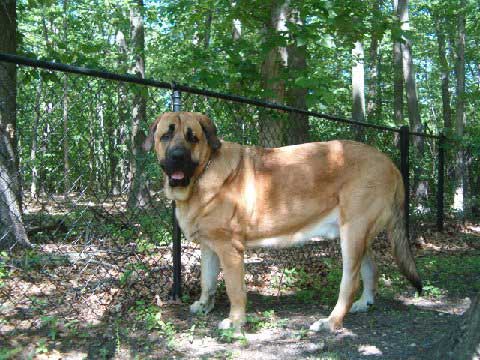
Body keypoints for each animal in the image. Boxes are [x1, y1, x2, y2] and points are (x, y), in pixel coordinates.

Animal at [144, 112, 422, 332]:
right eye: (166, 135)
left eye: (193, 137)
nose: (177, 156)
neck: (201, 174)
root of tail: (391, 164)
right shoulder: (209, 247)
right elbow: (208, 281)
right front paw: (204, 305)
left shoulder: (229, 249)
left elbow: (234, 290)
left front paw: (235, 321)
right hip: (357, 235)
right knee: (370, 269)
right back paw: (365, 303)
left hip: (353, 233)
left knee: (350, 282)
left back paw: (331, 321)